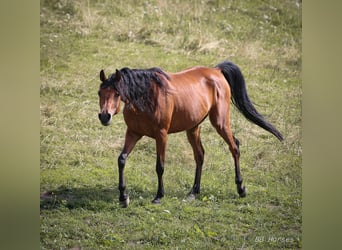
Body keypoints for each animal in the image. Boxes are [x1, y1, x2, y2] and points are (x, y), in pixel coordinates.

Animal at [97, 60, 284, 207]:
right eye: (99, 93)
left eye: (117, 93)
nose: (105, 116)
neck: (146, 97)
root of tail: (216, 71)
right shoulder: (133, 132)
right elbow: (121, 159)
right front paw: (123, 197)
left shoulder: (161, 135)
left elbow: (160, 166)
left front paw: (159, 196)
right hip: (193, 128)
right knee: (200, 155)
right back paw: (194, 192)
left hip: (220, 123)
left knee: (234, 147)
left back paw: (241, 189)